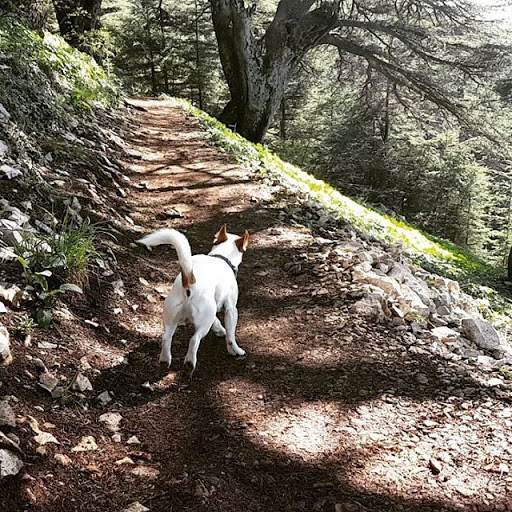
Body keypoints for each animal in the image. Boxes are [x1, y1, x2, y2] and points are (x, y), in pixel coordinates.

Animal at [135, 224, 249, 376]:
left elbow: (217, 322)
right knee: (194, 340)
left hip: (173, 318)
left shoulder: (214, 309)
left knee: (166, 338)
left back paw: (165, 360)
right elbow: (230, 336)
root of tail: (189, 281)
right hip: (204, 321)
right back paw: (190, 363)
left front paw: (219, 330)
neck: (222, 257)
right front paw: (235, 350)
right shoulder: (231, 309)